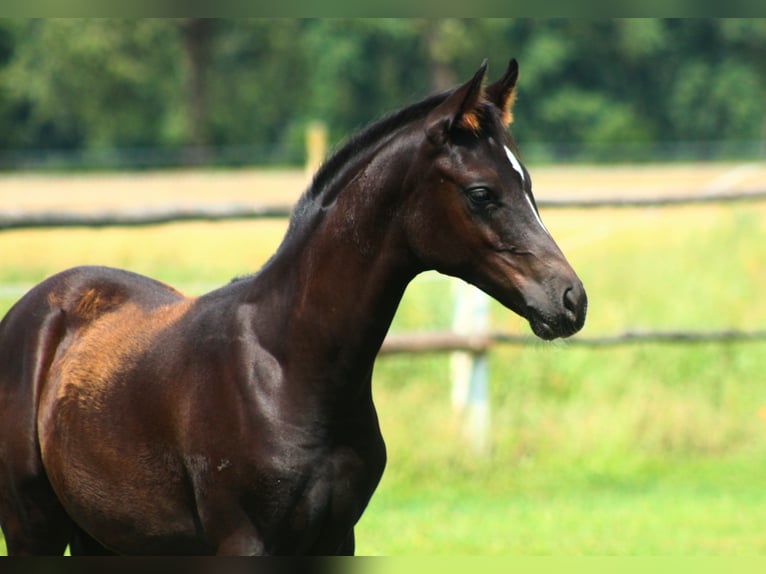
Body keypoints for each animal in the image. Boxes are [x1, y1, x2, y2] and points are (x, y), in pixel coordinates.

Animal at [0, 59, 588, 560]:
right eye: (481, 192)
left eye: (528, 184)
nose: (571, 299)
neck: (291, 368)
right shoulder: (243, 540)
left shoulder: (337, 536)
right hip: (33, 527)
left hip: (105, 536)